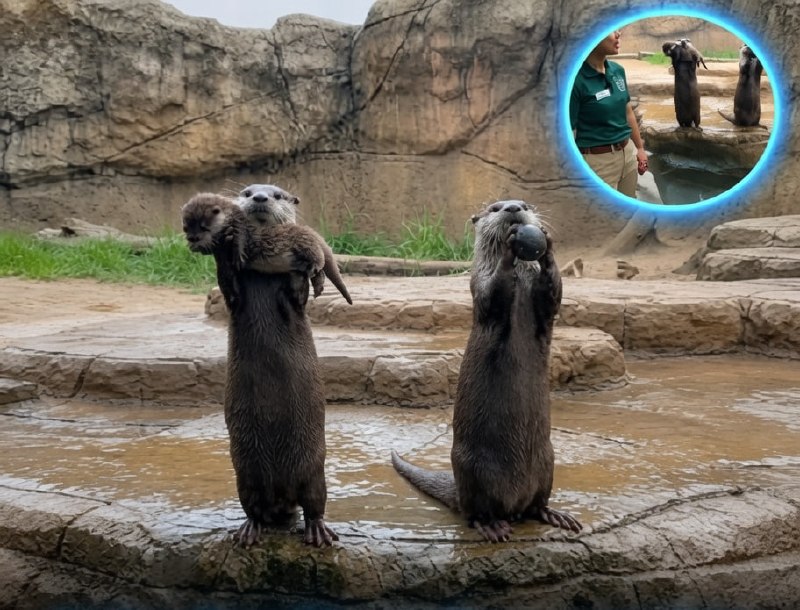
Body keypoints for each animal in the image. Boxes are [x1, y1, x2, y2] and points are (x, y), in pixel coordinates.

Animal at [181, 192, 338, 547]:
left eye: (203, 227)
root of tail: (281, 497)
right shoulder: (234, 295)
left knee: (315, 502)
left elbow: (297, 295)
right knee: (253, 506)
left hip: (314, 471)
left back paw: (318, 531)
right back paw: (250, 529)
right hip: (246, 475)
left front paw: (304, 270)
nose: (260, 195)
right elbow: (230, 288)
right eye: (187, 228)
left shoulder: (293, 301)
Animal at [391, 200, 582, 542]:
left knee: (537, 504)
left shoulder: (546, 304)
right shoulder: (479, 284)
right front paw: (508, 248)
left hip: (548, 460)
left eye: (526, 204)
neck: (522, 280)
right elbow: (492, 294)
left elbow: (553, 294)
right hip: (474, 469)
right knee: (475, 512)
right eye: (495, 208)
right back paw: (492, 525)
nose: (513, 207)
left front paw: (547, 249)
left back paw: (554, 514)